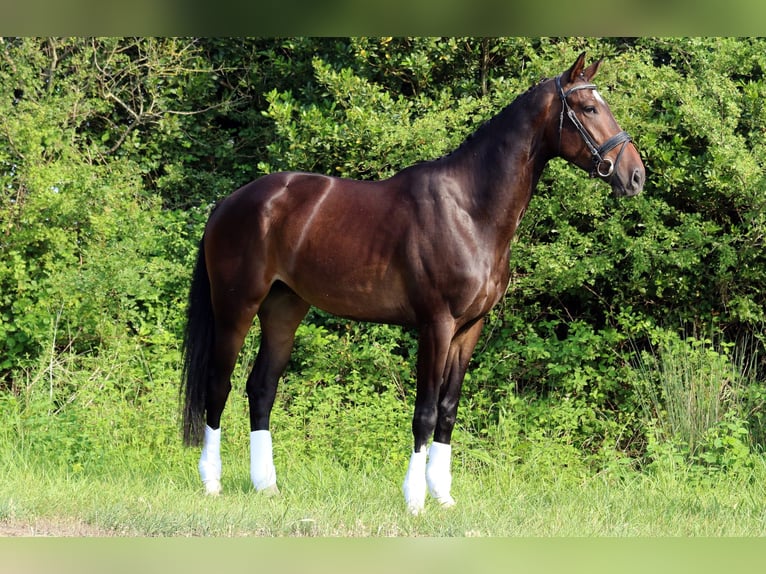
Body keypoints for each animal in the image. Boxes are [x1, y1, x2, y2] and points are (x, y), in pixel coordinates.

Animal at [181, 52, 645, 515]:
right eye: (589, 108)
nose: (636, 175)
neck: (469, 209)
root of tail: (229, 202)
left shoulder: (468, 329)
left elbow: (448, 410)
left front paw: (443, 494)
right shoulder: (435, 325)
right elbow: (424, 412)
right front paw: (416, 499)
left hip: (284, 307)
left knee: (261, 388)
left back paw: (266, 486)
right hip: (236, 308)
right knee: (218, 385)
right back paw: (211, 482)